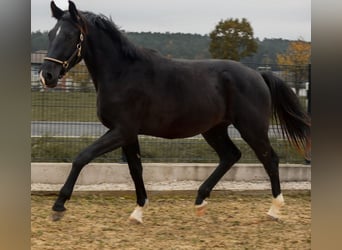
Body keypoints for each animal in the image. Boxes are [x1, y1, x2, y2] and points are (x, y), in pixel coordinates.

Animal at [39, 0, 310, 223]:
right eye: (51, 34)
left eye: (70, 35)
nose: (47, 76)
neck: (122, 73)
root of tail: (258, 75)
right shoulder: (129, 134)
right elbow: (135, 169)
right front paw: (138, 211)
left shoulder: (121, 131)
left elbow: (82, 157)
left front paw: (58, 205)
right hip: (214, 129)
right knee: (230, 155)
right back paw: (200, 201)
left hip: (251, 128)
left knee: (269, 159)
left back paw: (274, 209)